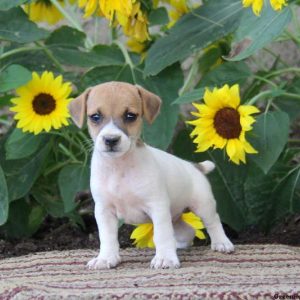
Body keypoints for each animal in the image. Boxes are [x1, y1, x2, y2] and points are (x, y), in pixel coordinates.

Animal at [68, 81, 234, 270]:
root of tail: (193, 166)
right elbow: (107, 237)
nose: (111, 140)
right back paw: (178, 245)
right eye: (95, 117)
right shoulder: (104, 211)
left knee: (213, 222)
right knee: (187, 230)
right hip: (175, 217)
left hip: (203, 205)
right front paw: (106, 258)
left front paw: (165, 258)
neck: (119, 168)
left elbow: (161, 234)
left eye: (130, 116)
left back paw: (221, 243)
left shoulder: (157, 207)